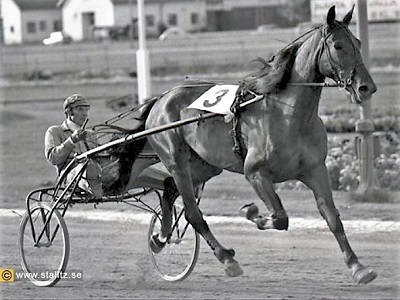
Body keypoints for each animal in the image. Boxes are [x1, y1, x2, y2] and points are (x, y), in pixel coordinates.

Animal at [144, 5, 378, 284]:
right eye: (338, 45)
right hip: (177, 160)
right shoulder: (255, 173)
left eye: (358, 43)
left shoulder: (316, 170)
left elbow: (332, 217)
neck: (288, 115)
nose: (366, 87)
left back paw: (160, 237)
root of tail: (160, 100)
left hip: (205, 165)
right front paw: (251, 212)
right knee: (192, 212)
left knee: (169, 188)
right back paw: (226, 258)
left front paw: (358, 266)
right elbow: (280, 218)